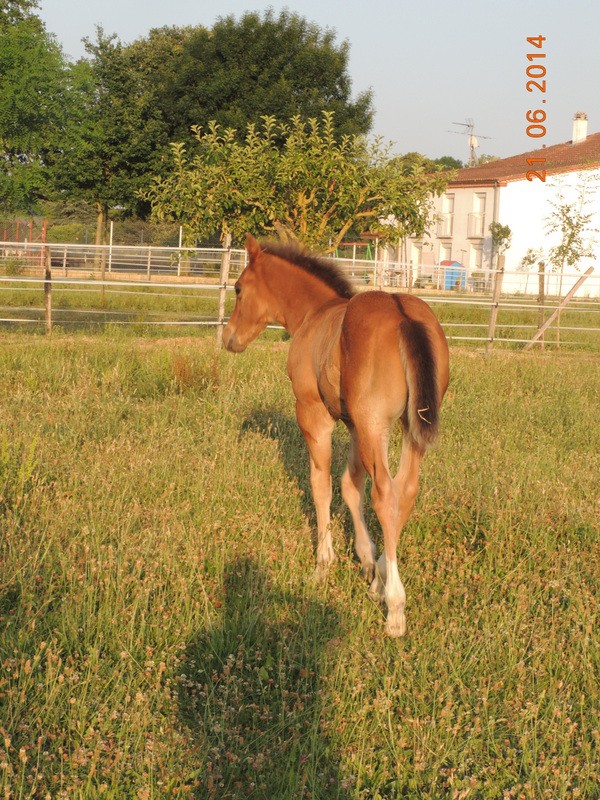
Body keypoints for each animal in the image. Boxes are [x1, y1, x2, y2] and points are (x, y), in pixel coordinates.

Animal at [223, 233, 448, 636]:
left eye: (238, 289)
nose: (228, 337)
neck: (315, 314)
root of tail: (403, 313)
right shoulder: (354, 424)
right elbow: (350, 485)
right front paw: (368, 563)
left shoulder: (315, 414)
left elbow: (321, 484)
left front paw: (322, 564)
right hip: (408, 428)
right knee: (405, 489)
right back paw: (383, 581)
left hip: (377, 424)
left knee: (386, 492)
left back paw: (395, 607)